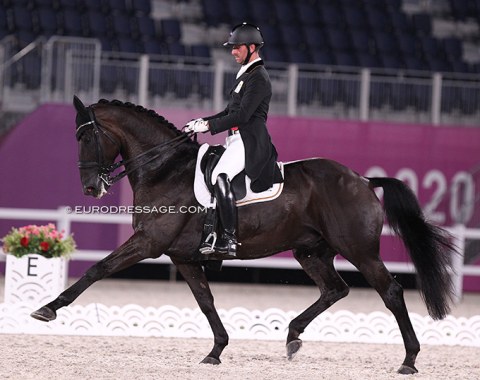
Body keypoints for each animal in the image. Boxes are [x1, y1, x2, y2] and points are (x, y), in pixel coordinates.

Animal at [31, 97, 456, 374]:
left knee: (391, 292)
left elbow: (96, 270)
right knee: (334, 289)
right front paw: (216, 351)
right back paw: (292, 336)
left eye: (85, 138)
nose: (91, 189)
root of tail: (363, 180)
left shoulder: (148, 244)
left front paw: (48, 308)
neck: (165, 169)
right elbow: (205, 301)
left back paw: (409, 360)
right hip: (311, 251)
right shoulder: (183, 256)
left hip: (359, 250)